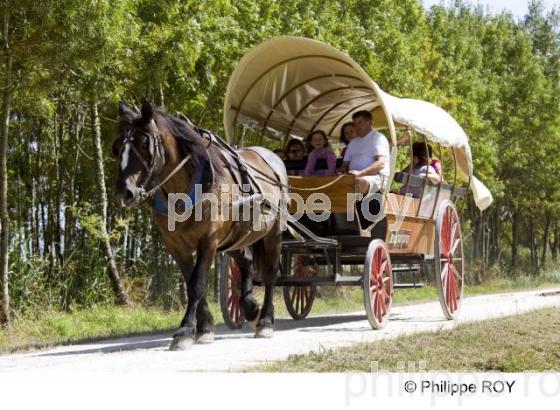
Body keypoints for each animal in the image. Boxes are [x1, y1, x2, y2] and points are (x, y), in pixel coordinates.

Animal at [114, 100, 288, 350]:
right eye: (117, 146)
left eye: (144, 143)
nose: (124, 192)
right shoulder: (176, 245)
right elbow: (191, 282)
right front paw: (204, 327)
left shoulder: (209, 239)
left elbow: (197, 283)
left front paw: (185, 331)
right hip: (235, 235)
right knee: (245, 261)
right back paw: (249, 307)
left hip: (273, 233)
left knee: (270, 273)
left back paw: (265, 321)